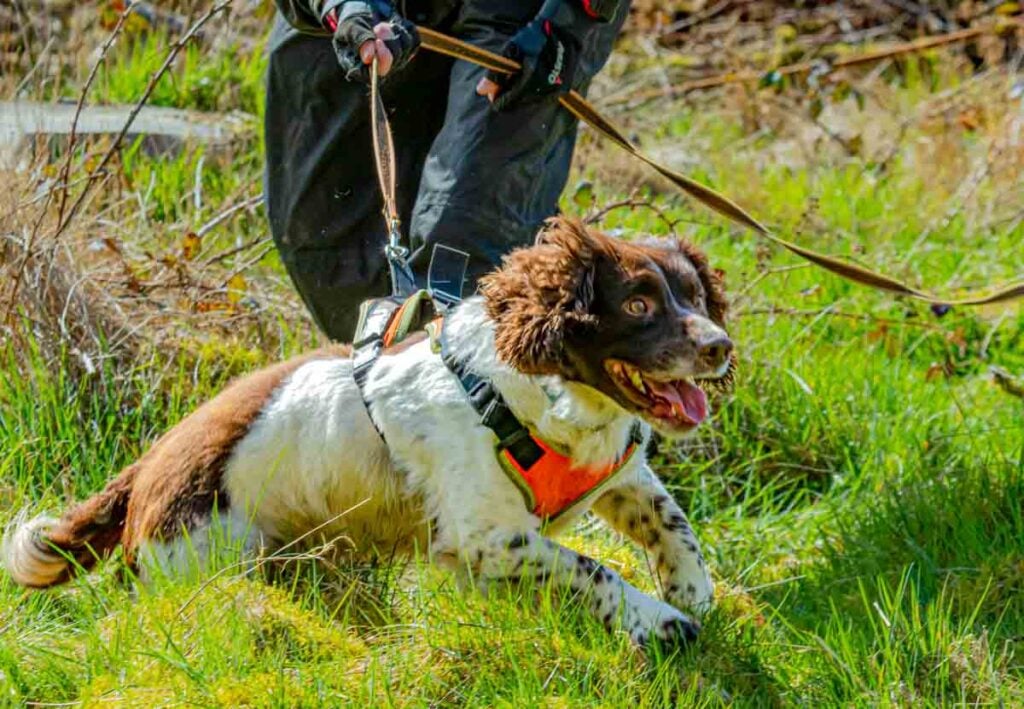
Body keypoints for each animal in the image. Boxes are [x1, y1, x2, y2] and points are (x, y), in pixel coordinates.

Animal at [4, 219, 733, 651]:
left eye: (697, 296)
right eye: (637, 303)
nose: (720, 347)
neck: (530, 393)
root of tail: (145, 471)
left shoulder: (618, 473)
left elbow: (675, 525)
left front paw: (691, 592)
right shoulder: (490, 537)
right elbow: (594, 569)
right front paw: (662, 621)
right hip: (209, 561)